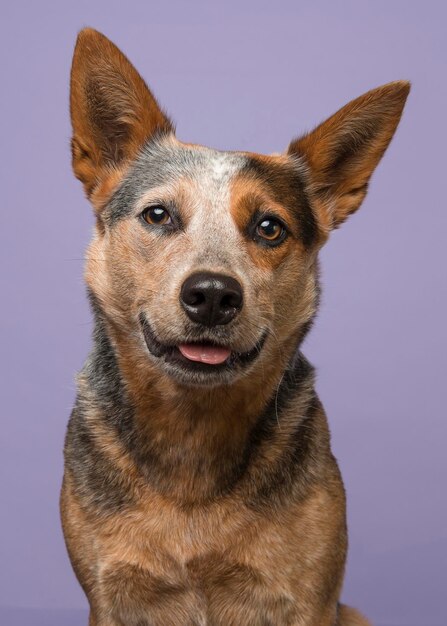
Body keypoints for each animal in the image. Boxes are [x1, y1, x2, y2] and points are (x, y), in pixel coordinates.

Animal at [61, 26, 412, 620]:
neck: (192, 436)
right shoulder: (108, 599)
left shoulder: (310, 600)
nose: (211, 295)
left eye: (269, 227)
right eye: (158, 215)